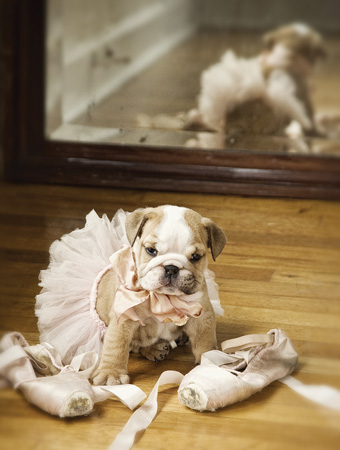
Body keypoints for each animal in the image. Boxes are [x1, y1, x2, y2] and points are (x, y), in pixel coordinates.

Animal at [92, 206, 226, 384]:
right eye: (151, 250)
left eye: (196, 257)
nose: (171, 268)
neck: (164, 298)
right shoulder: (124, 317)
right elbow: (116, 345)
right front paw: (111, 373)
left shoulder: (201, 315)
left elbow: (205, 341)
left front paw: (209, 364)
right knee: (135, 345)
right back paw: (153, 349)